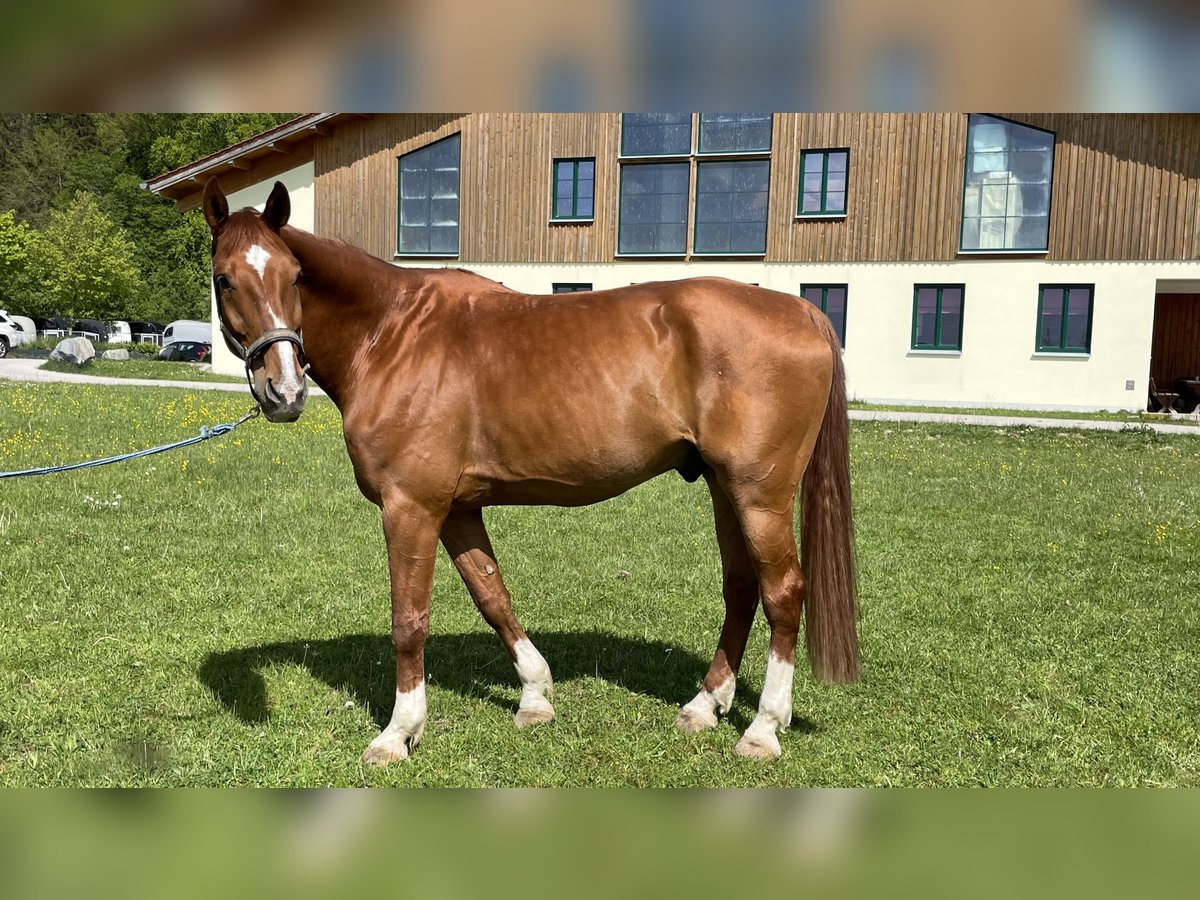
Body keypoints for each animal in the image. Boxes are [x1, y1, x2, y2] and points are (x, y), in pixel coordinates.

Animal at [201, 174, 859, 763]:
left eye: (294, 277)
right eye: (225, 279)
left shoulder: (411, 507)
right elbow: (492, 595)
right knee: (741, 586)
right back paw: (705, 705)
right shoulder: (458, 508)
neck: (391, 334)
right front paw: (535, 695)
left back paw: (764, 729)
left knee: (782, 593)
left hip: (759, 495)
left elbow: (409, 620)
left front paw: (398, 733)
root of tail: (801, 310)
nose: (285, 392)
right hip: (725, 488)